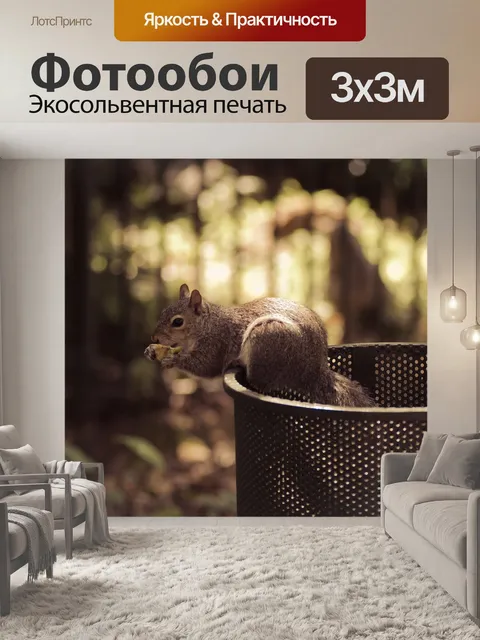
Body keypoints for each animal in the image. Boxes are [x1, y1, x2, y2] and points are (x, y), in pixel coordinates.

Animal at [144, 284, 375, 407]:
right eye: (162, 312)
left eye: (177, 322)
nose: (154, 338)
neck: (209, 324)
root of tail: (312, 371)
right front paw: (151, 352)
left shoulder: (216, 344)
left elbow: (205, 367)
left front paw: (172, 359)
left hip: (266, 338)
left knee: (260, 383)